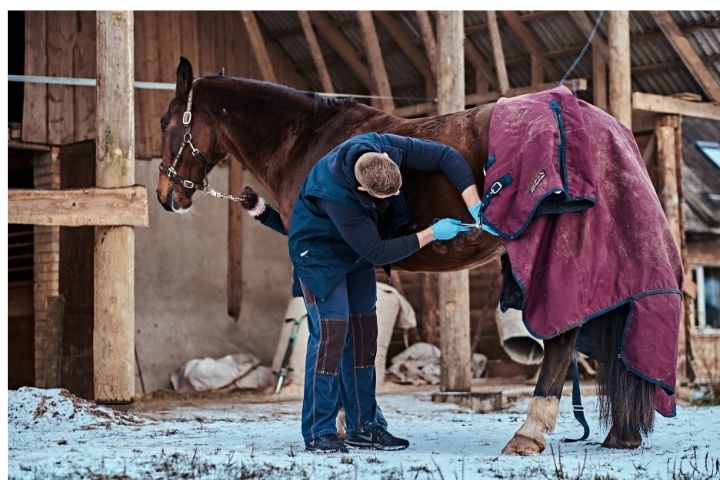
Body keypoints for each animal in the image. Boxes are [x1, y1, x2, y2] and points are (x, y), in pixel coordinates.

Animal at [156, 57, 656, 454]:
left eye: (164, 122)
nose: (166, 195)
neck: (309, 141)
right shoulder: (359, 267)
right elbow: (358, 342)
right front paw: (363, 428)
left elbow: (336, 342)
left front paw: (341, 428)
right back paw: (620, 435)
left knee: (561, 338)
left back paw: (528, 434)